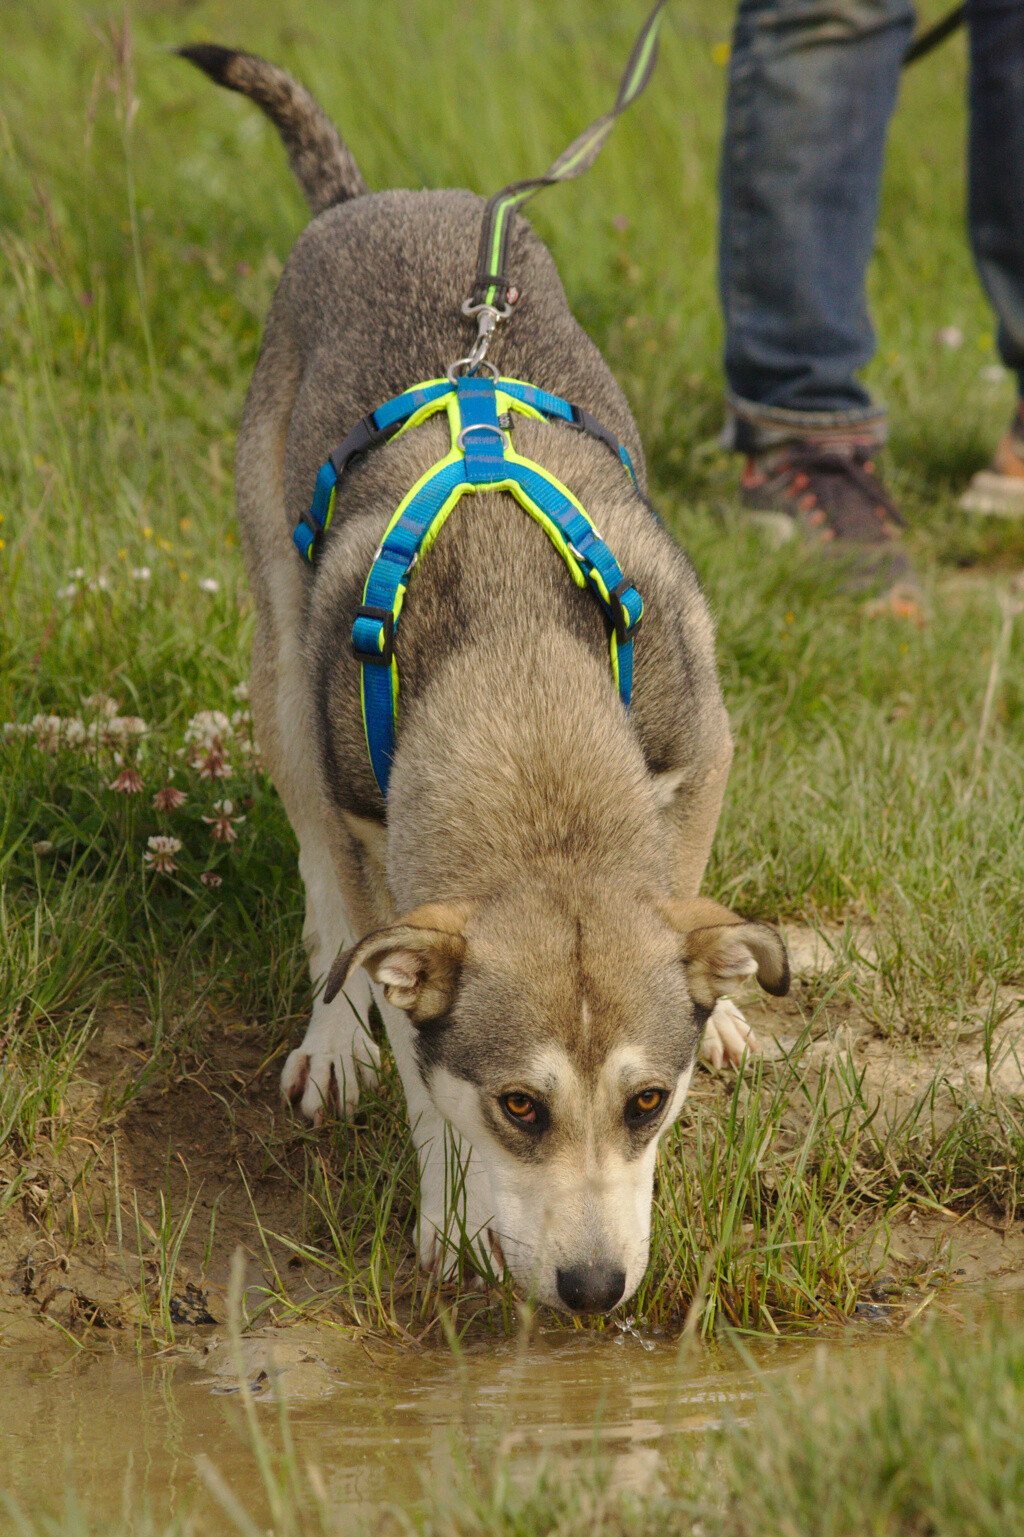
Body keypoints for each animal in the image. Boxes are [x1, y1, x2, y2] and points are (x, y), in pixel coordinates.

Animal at [179, 42, 784, 1315]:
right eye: (519, 1107)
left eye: (647, 1103)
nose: (596, 1288)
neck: (523, 700)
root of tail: (372, 201)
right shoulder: (386, 854)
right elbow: (414, 1050)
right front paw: (452, 1218)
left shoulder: (702, 738)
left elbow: (685, 884)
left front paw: (712, 1003)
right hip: (281, 663)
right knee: (315, 861)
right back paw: (332, 1035)